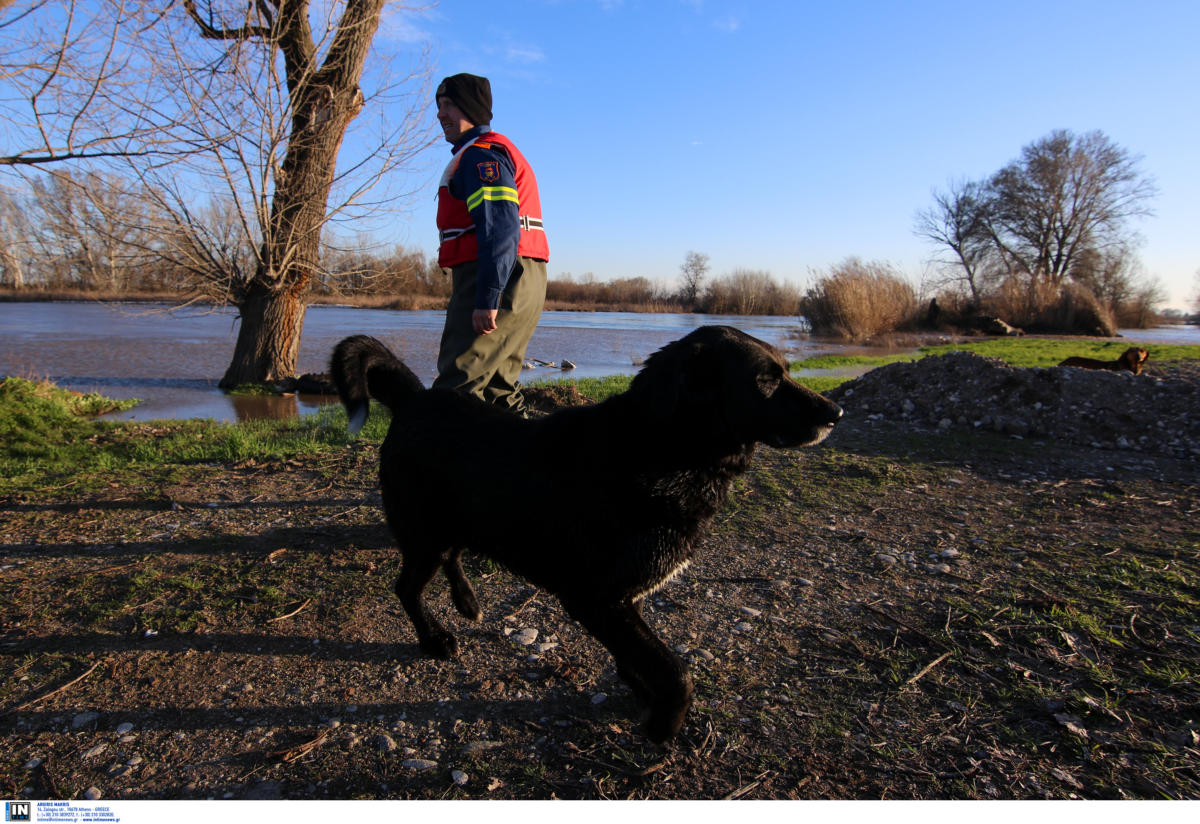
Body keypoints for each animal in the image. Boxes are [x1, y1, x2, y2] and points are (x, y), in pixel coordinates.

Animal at [331, 326, 844, 743]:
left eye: (787, 371)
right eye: (766, 381)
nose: (837, 412)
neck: (664, 449)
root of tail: (417, 400)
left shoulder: (624, 598)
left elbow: (641, 657)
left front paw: (643, 694)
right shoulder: (593, 598)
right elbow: (675, 671)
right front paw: (664, 725)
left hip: (455, 524)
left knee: (453, 557)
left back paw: (467, 602)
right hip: (425, 535)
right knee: (407, 586)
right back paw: (434, 638)